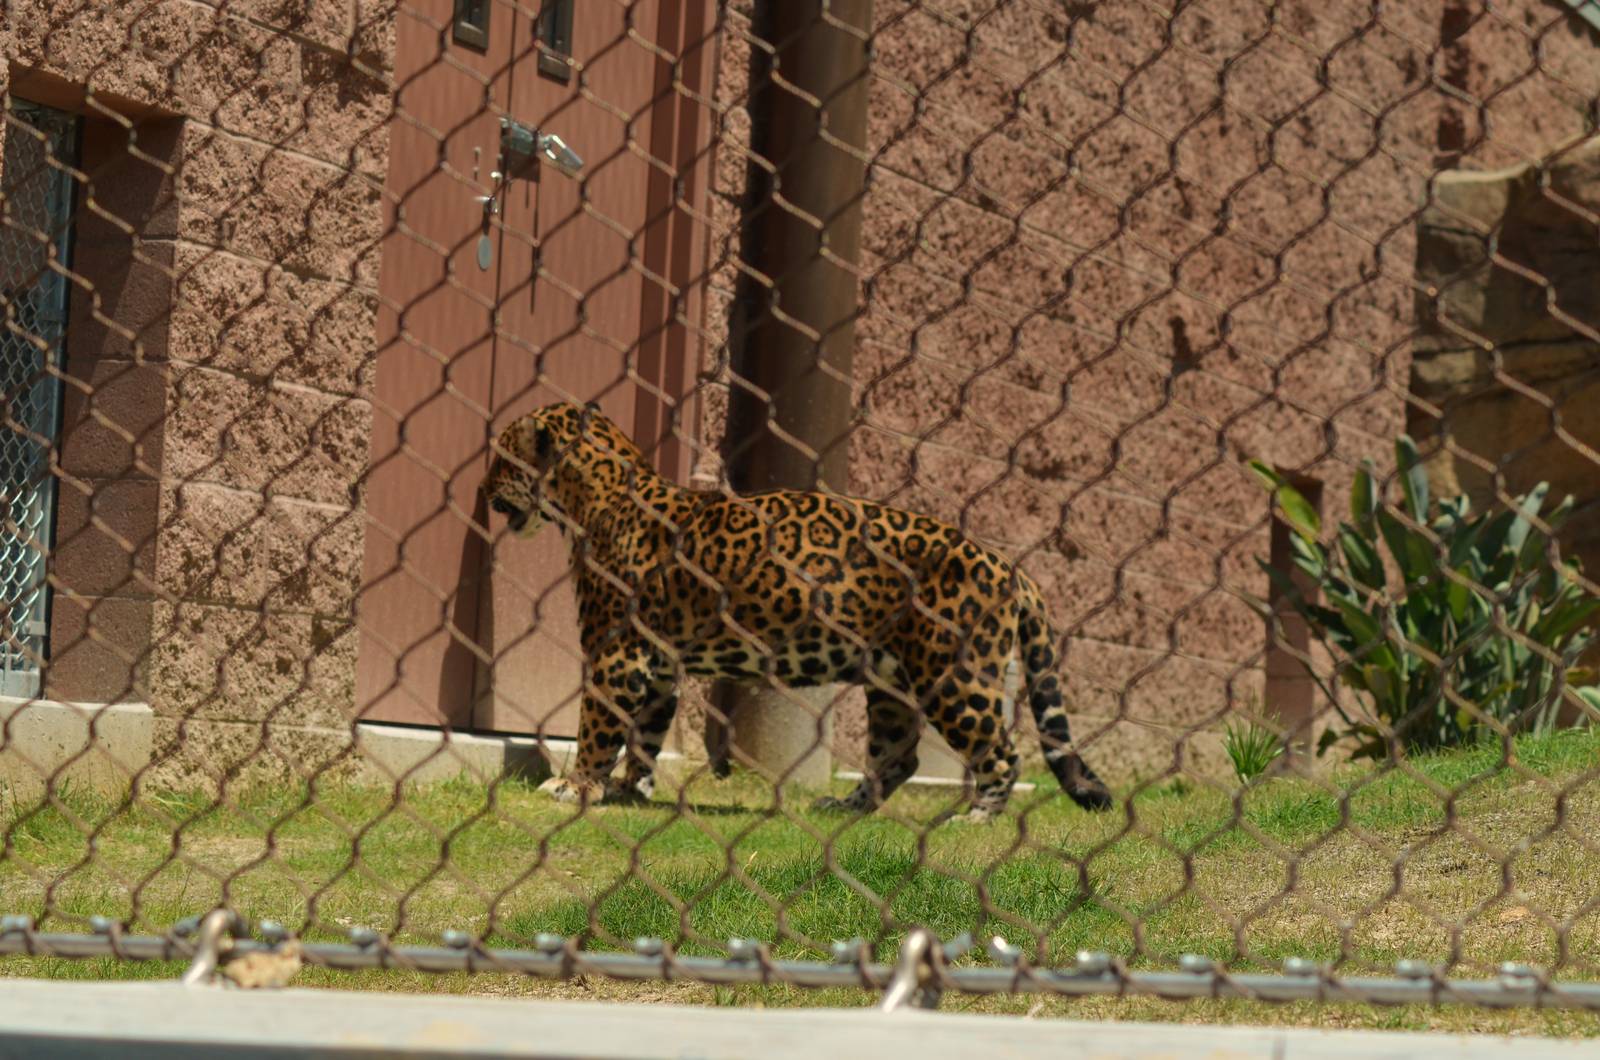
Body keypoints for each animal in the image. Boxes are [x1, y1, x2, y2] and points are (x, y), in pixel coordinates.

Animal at [482, 401, 1113, 821]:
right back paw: (846, 807)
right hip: (892, 680)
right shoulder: (656, 663)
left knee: (1001, 750)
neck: (594, 499)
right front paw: (626, 791)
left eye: (500, 460)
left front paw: (575, 786)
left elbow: (598, 725)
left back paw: (977, 815)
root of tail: (1009, 565)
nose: (481, 493)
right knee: (899, 756)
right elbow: (644, 733)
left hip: (954, 677)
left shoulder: (615, 654)